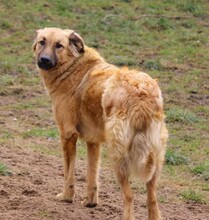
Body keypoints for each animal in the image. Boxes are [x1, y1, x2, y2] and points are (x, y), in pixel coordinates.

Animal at [32, 27, 168, 220]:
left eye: (59, 45)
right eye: (42, 42)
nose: (44, 60)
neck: (72, 66)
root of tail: (141, 94)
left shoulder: (67, 135)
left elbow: (68, 173)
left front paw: (66, 197)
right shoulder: (93, 142)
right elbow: (92, 174)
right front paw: (90, 202)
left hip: (118, 156)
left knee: (129, 195)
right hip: (154, 160)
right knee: (152, 200)